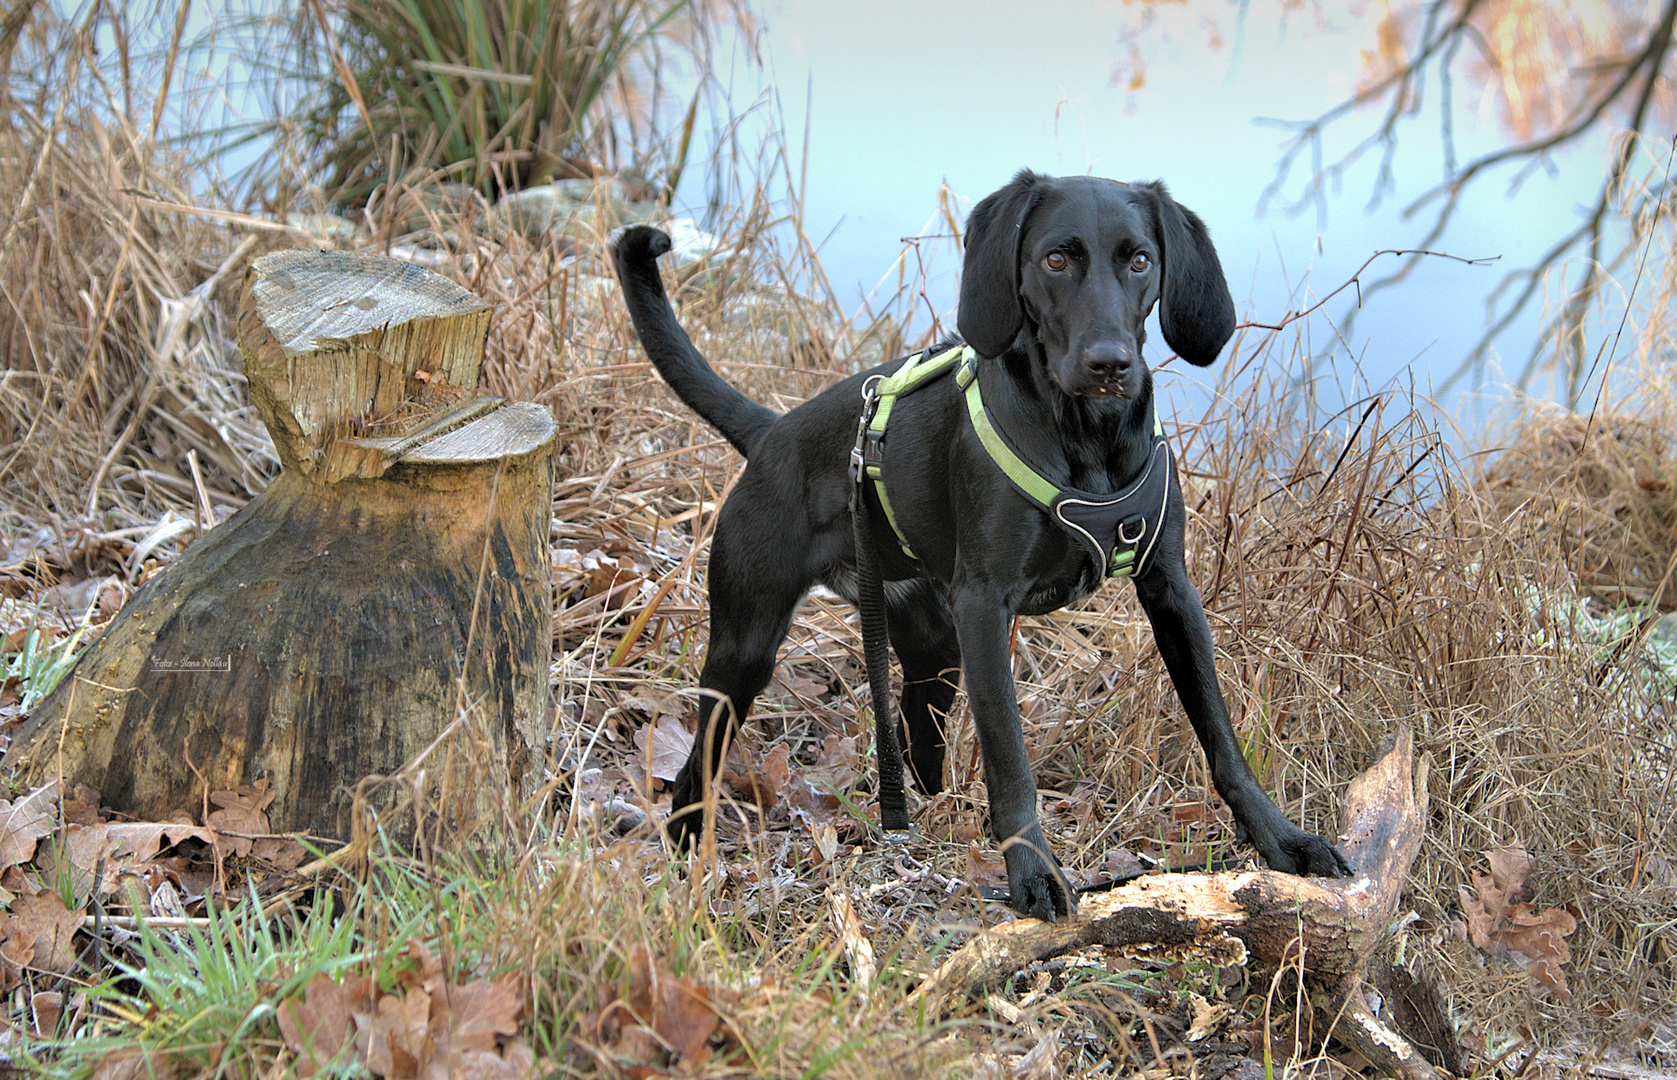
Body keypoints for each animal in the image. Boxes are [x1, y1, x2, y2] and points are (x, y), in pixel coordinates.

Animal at [610, 171, 1341, 919]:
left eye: (1139, 260)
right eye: (1056, 259)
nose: (1109, 364)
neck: (1088, 440)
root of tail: (771, 431)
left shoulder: (1171, 592)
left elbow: (1222, 740)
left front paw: (1281, 839)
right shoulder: (986, 606)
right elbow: (1009, 760)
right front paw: (1033, 874)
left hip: (934, 647)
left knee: (913, 735)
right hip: (745, 646)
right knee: (696, 767)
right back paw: (689, 855)